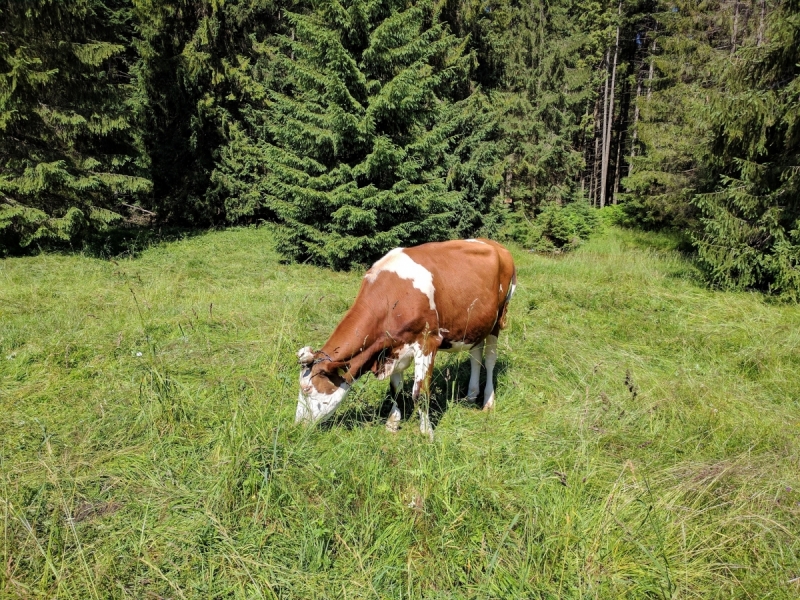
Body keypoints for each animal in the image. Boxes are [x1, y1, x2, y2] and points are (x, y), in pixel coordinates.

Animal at [296, 237, 516, 438]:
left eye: (306, 389)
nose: (297, 426)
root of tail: (495, 245)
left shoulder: (427, 341)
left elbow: (420, 393)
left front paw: (427, 434)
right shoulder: (393, 346)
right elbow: (395, 388)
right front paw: (392, 423)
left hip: (498, 318)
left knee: (489, 360)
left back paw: (488, 401)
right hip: (477, 324)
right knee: (475, 357)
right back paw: (471, 395)